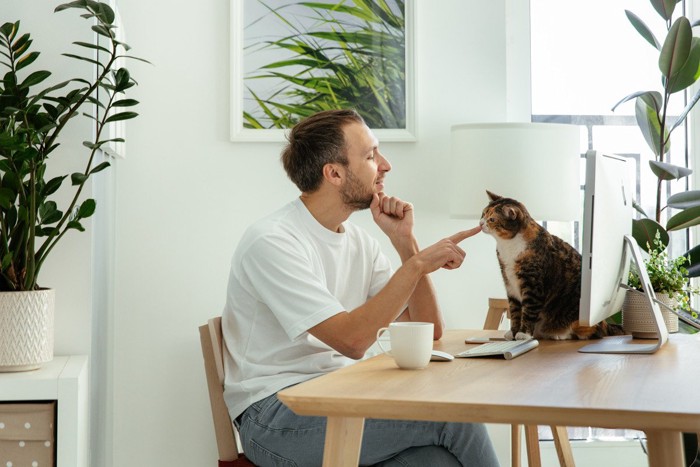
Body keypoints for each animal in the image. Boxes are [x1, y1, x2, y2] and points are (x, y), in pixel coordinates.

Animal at [482, 190, 624, 340]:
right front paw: (513, 332)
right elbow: (515, 310)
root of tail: (606, 324)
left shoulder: (533, 285)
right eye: (483, 214)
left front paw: (524, 334)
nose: (480, 223)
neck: (508, 246)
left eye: (492, 219)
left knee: (593, 332)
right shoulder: (509, 283)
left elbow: (529, 310)